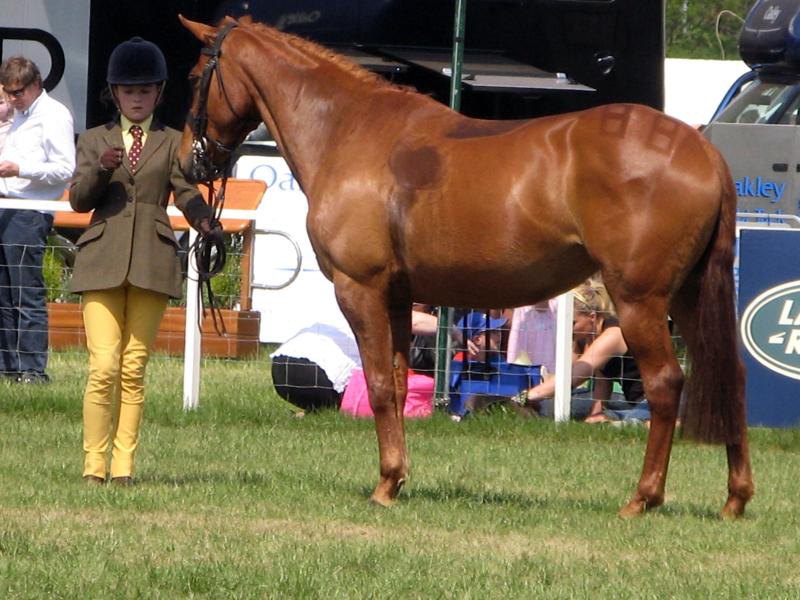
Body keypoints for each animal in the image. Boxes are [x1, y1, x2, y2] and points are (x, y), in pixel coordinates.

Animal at [178, 16, 752, 516]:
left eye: (195, 78)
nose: (190, 162)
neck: (350, 131)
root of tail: (704, 151)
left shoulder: (360, 290)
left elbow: (379, 385)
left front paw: (384, 486)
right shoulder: (398, 297)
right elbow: (399, 382)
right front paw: (397, 478)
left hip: (639, 302)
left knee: (666, 384)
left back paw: (642, 498)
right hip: (688, 298)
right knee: (730, 374)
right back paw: (735, 497)